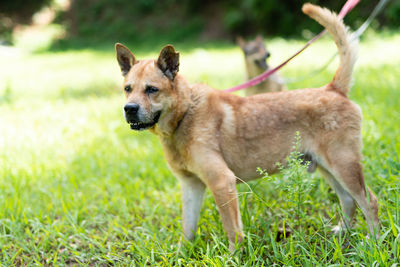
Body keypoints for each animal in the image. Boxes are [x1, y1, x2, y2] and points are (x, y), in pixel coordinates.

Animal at [115, 3, 378, 252]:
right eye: (128, 88)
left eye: (152, 89)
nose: (129, 109)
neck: (185, 114)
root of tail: (333, 89)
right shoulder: (191, 186)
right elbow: (187, 229)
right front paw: (181, 254)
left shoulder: (222, 182)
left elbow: (233, 230)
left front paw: (232, 256)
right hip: (328, 168)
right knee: (349, 201)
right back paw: (344, 233)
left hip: (344, 165)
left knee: (370, 202)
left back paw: (374, 242)